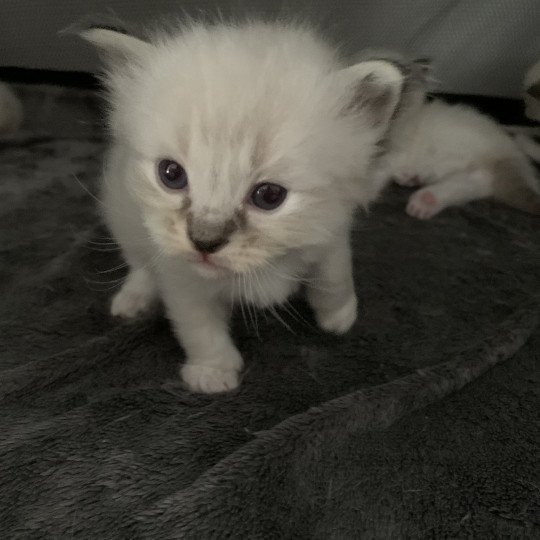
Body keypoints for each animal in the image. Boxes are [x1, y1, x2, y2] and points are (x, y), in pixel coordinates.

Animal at [80, 22, 404, 392]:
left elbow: (334, 276)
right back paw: (133, 300)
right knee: (140, 265)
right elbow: (200, 328)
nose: (204, 242)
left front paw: (339, 316)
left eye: (269, 196)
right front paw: (213, 374)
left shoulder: (330, 234)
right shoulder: (182, 279)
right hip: (125, 217)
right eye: (171, 174)